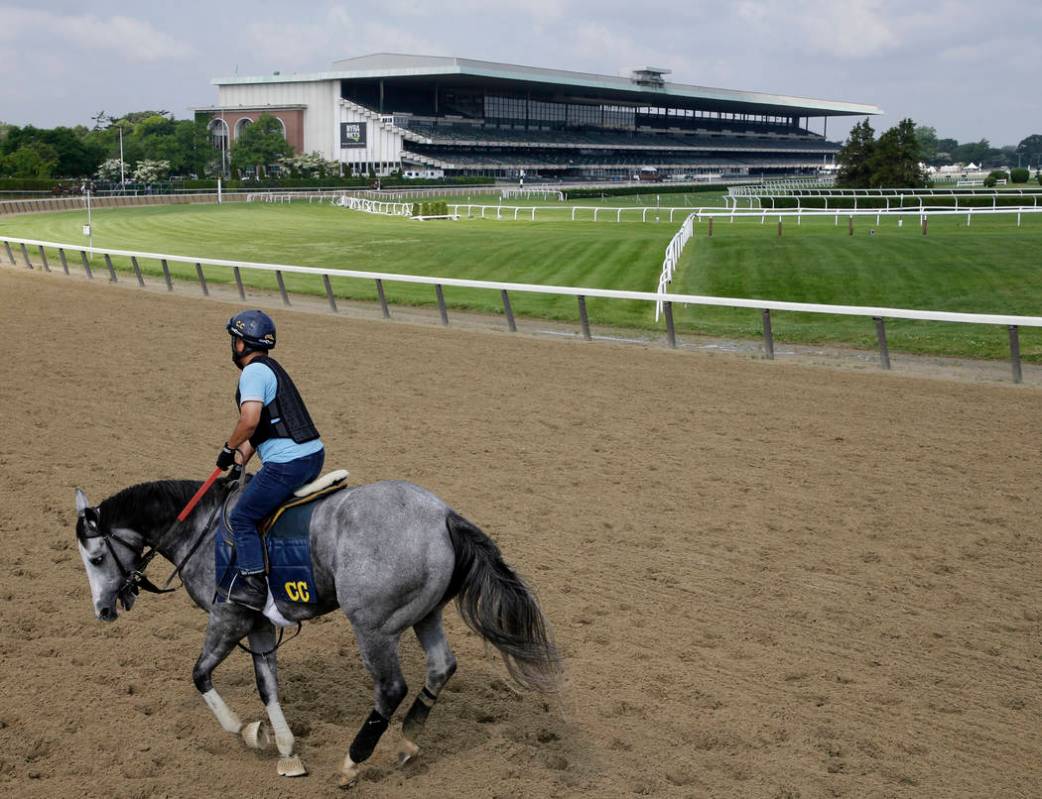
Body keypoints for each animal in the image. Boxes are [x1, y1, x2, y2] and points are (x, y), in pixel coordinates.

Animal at [73, 479, 562, 783]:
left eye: (95, 558)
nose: (102, 611)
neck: (203, 529)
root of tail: (443, 515)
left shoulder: (228, 618)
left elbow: (200, 675)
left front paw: (244, 731)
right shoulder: (259, 627)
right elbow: (267, 685)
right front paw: (286, 750)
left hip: (374, 627)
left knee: (391, 688)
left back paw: (351, 763)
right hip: (425, 616)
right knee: (441, 668)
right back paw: (407, 739)